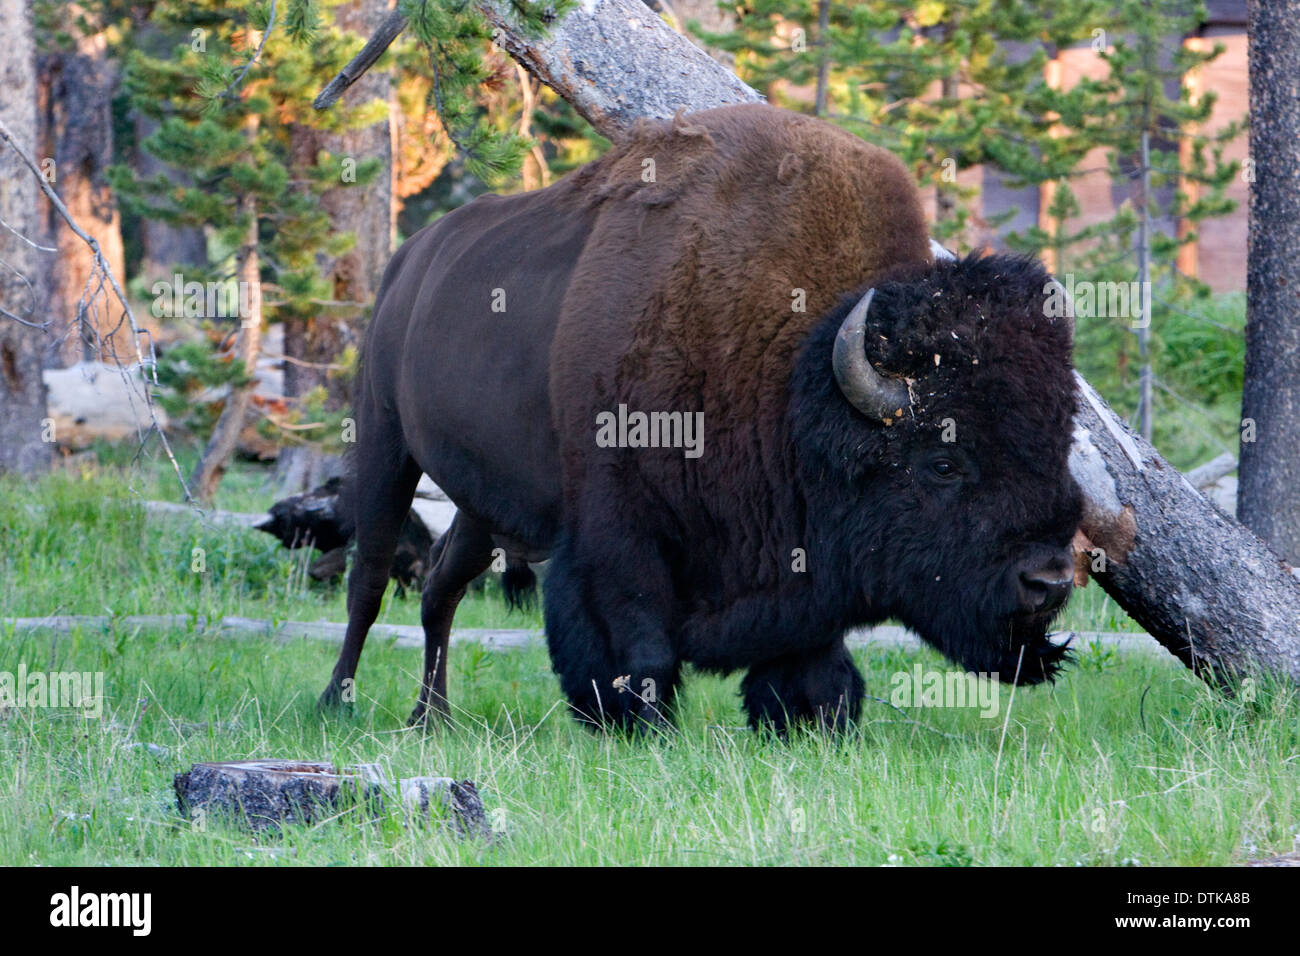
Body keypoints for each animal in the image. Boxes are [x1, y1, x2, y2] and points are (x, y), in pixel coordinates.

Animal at [319, 104, 1081, 733]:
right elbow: (642, 648)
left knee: (440, 589)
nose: (1049, 581)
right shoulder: (618, 532)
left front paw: (804, 721)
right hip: (385, 444)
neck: (791, 373)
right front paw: (638, 725)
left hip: (484, 508)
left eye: (1060, 442)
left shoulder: (800, 567)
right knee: (370, 580)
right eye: (944, 462)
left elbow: (815, 664)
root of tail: (407, 261)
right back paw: (338, 702)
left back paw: (432, 718)